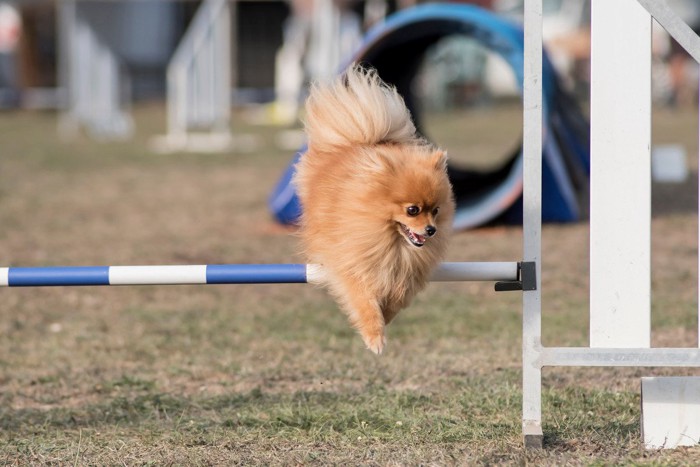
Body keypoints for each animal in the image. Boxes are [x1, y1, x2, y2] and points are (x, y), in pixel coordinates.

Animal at [294, 64, 454, 352]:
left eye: (436, 210)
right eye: (413, 210)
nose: (431, 230)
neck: (392, 243)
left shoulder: (405, 274)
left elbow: (397, 297)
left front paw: (386, 315)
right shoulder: (352, 266)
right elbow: (365, 303)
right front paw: (374, 337)